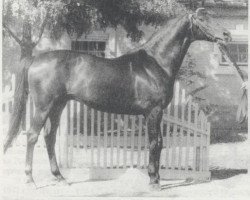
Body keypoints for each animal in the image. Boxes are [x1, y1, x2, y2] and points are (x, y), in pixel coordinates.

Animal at [3, 7, 230, 188]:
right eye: (202, 19)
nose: (227, 34)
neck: (155, 63)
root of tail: (35, 59)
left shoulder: (157, 113)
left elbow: (160, 142)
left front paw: (156, 178)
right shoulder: (153, 112)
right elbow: (154, 142)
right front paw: (153, 181)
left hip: (58, 105)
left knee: (49, 137)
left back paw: (60, 177)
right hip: (43, 106)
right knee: (32, 136)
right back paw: (30, 180)